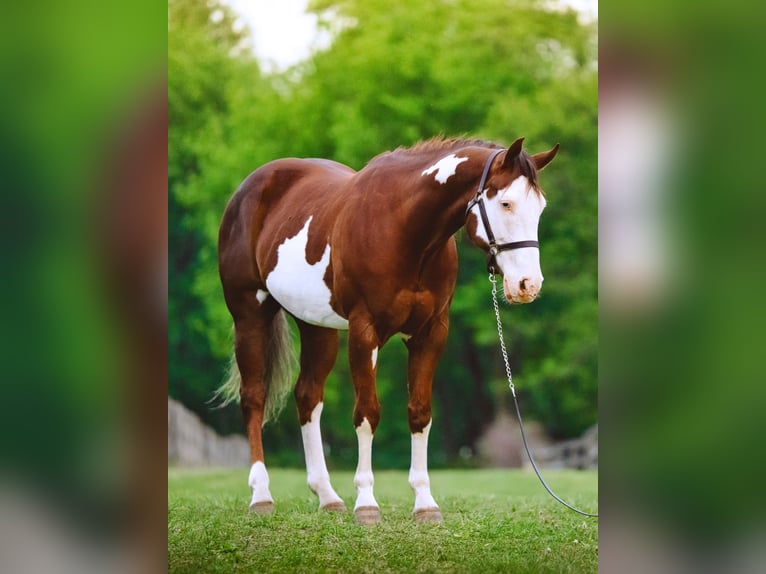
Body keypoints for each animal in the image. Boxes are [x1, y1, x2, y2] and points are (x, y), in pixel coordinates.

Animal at [217, 136, 558, 524]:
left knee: (307, 396)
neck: (405, 231)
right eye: (505, 202)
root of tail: (250, 187)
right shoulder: (364, 332)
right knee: (253, 396)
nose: (528, 284)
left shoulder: (430, 333)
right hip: (249, 315)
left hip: (316, 326)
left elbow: (420, 413)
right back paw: (261, 495)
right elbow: (368, 414)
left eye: (540, 208)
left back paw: (327, 496)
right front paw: (366, 503)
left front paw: (425, 503)